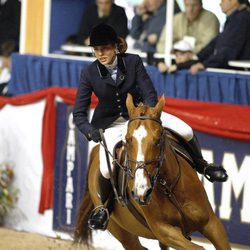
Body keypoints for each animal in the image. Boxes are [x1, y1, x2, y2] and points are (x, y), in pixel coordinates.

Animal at [74, 94, 230, 250]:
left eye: (158, 139)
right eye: (127, 140)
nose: (141, 191)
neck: (168, 187)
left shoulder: (212, 224)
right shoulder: (164, 232)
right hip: (123, 234)